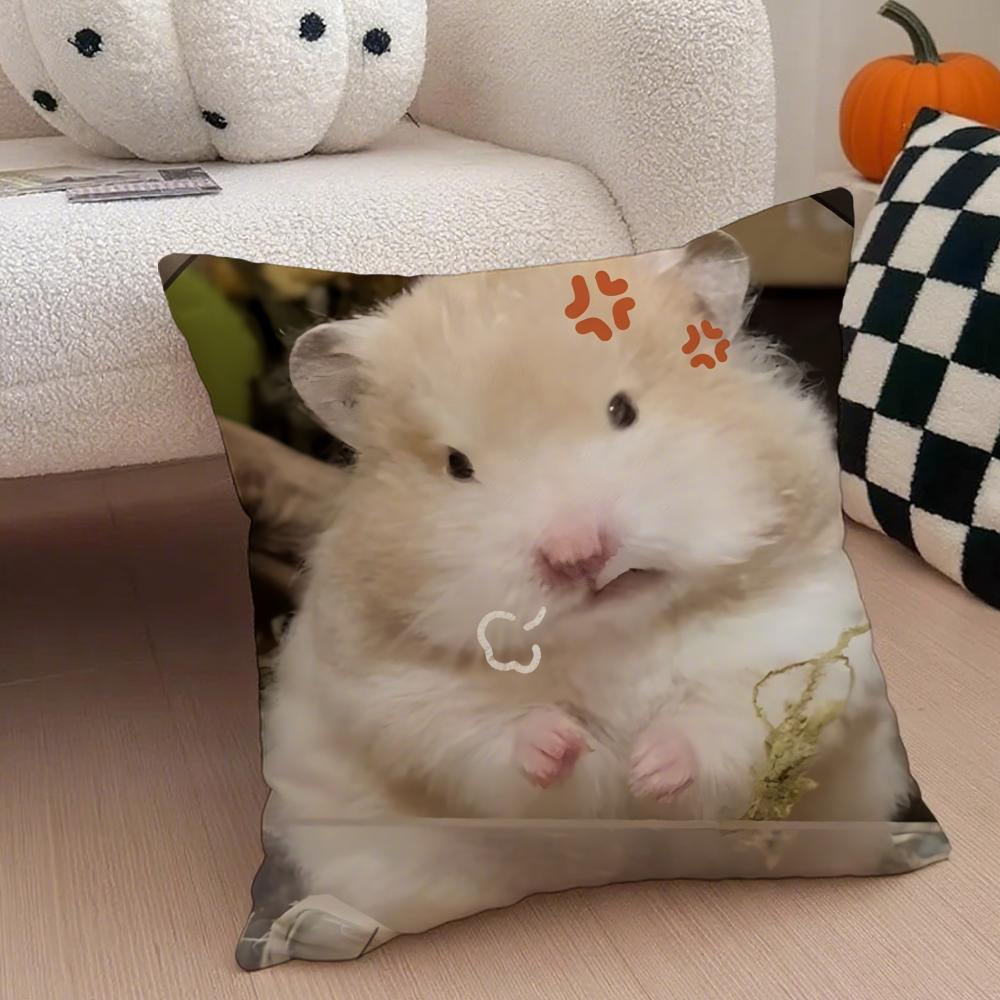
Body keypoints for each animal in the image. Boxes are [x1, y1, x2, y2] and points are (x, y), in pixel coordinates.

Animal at [261, 235, 913, 933]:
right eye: (457, 466)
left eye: (622, 411)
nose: (577, 556)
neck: (618, 632)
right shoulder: (398, 691)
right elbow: (491, 736)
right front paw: (566, 744)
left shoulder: (802, 633)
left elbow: (725, 717)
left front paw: (648, 769)